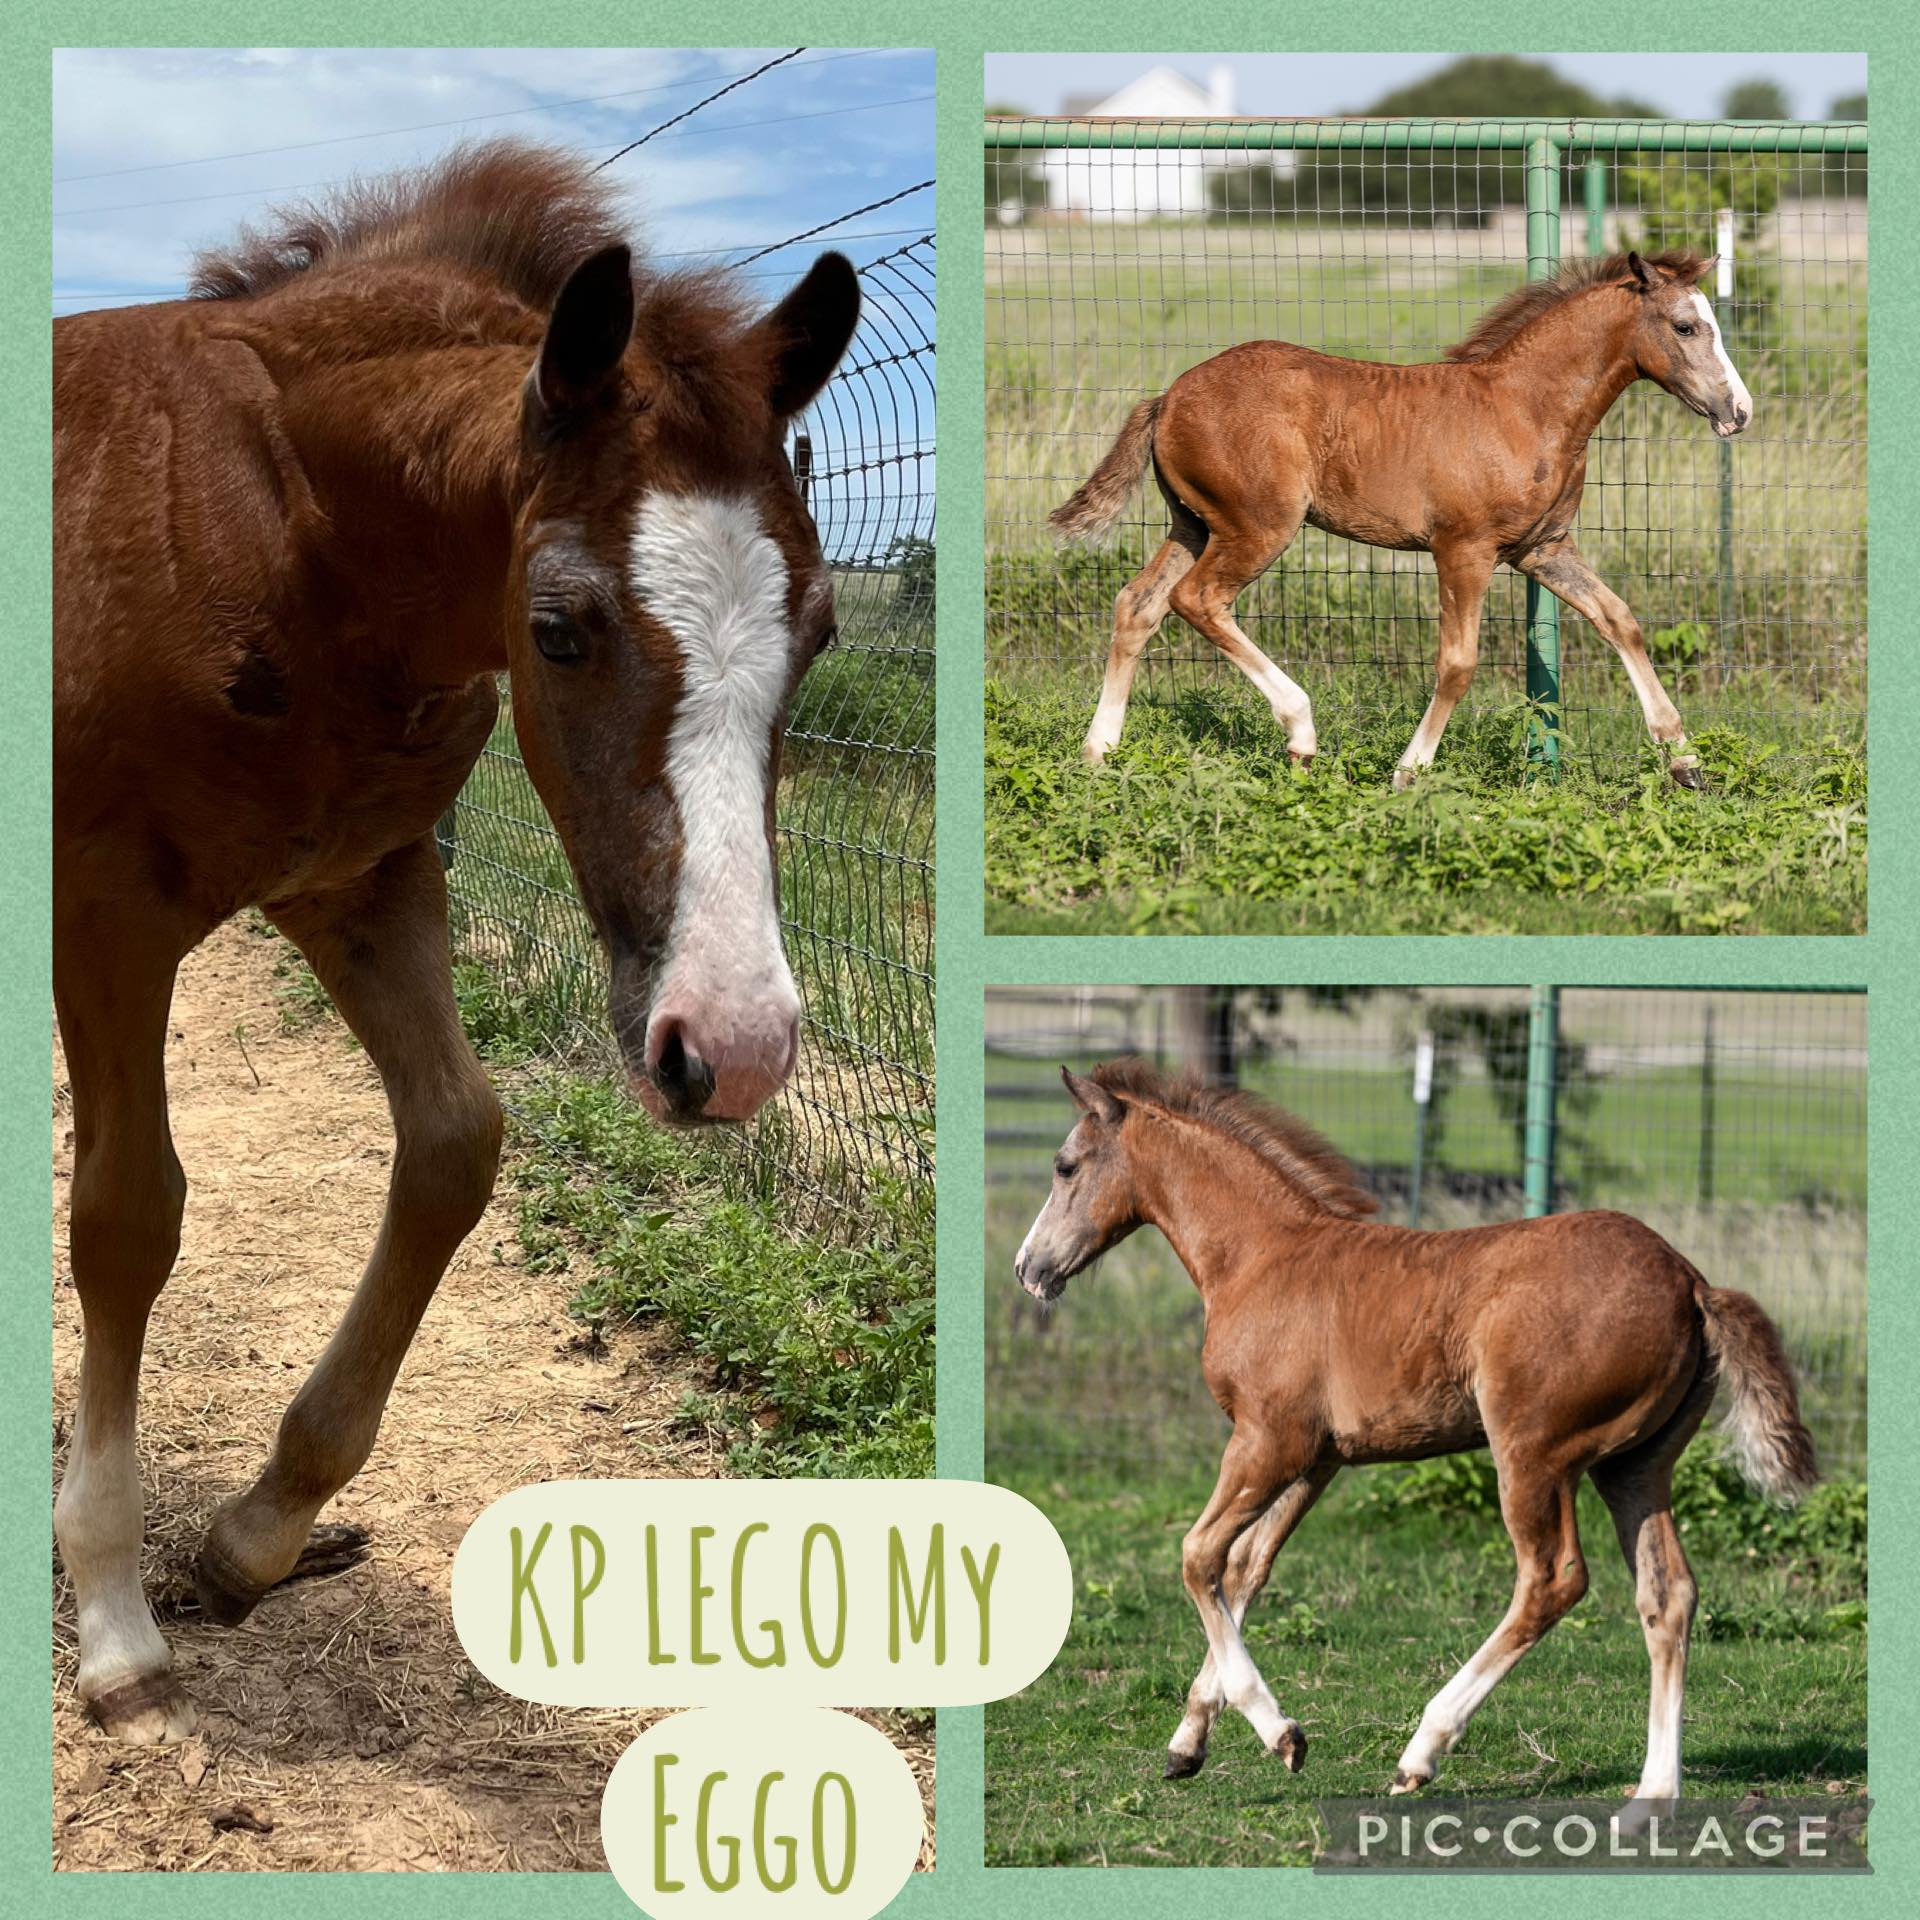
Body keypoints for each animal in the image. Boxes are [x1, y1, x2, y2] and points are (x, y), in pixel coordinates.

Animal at [53, 141, 860, 1745]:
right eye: (557, 627)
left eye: (819, 627)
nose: (733, 1046)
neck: (272, 519)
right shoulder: (104, 908)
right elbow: (125, 1214)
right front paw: (111, 1613)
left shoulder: (363, 881)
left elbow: (453, 1145)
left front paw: (256, 1536)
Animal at [1013, 1061, 1816, 1808]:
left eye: (1064, 1165)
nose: (1028, 1268)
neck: (1262, 1257)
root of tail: (1691, 1282)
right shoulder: (1317, 1460)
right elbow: (1246, 1569)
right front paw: (1189, 1744)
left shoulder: (1268, 1441)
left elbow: (1198, 1556)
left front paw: (1280, 1733)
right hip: (1635, 1466)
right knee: (1668, 1594)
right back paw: (1654, 1789)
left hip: (1534, 1453)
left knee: (1552, 1579)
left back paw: (1422, 1750)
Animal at [1052, 250, 1754, 788]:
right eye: (1685, 327)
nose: (1738, 410)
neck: (1526, 408)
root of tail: (1167, 397)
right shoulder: (1464, 549)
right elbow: (1458, 664)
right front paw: (1408, 771)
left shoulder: (1543, 548)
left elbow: (1621, 621)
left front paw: (1685, 760)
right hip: (1258, 525)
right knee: (1197, 600)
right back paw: (1301, 731)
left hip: (1195, 525)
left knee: (1137, 604)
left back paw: (1098, 751)